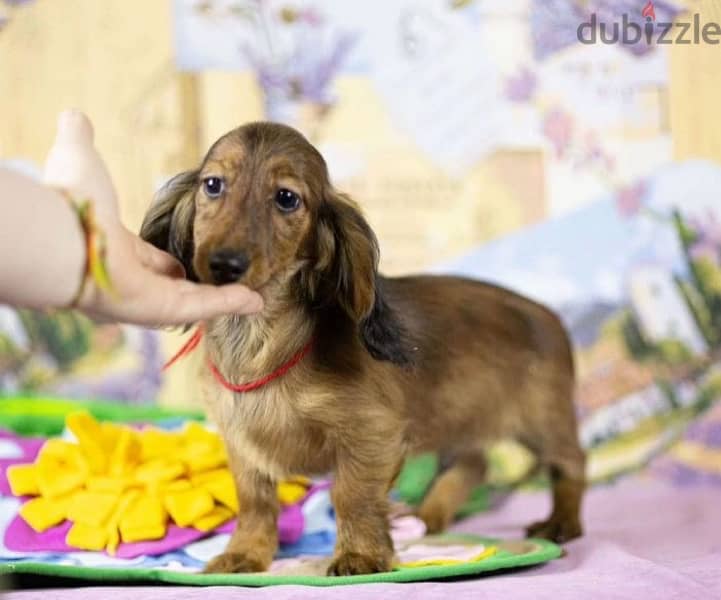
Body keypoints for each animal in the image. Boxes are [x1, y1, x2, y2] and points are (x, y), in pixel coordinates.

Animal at [141, 122, 584, 576]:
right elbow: (255, 502)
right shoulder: (242, 445)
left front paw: (359, 555)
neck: (259, 342)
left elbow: (351, 495)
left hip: (541, 421)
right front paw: (245, 553)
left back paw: (560, 522)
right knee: (473, 465)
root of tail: (547, 313)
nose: (224, 264)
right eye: (213, 185)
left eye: (286, 198)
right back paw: (429, 515)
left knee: (571, 464)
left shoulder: (372, 432)